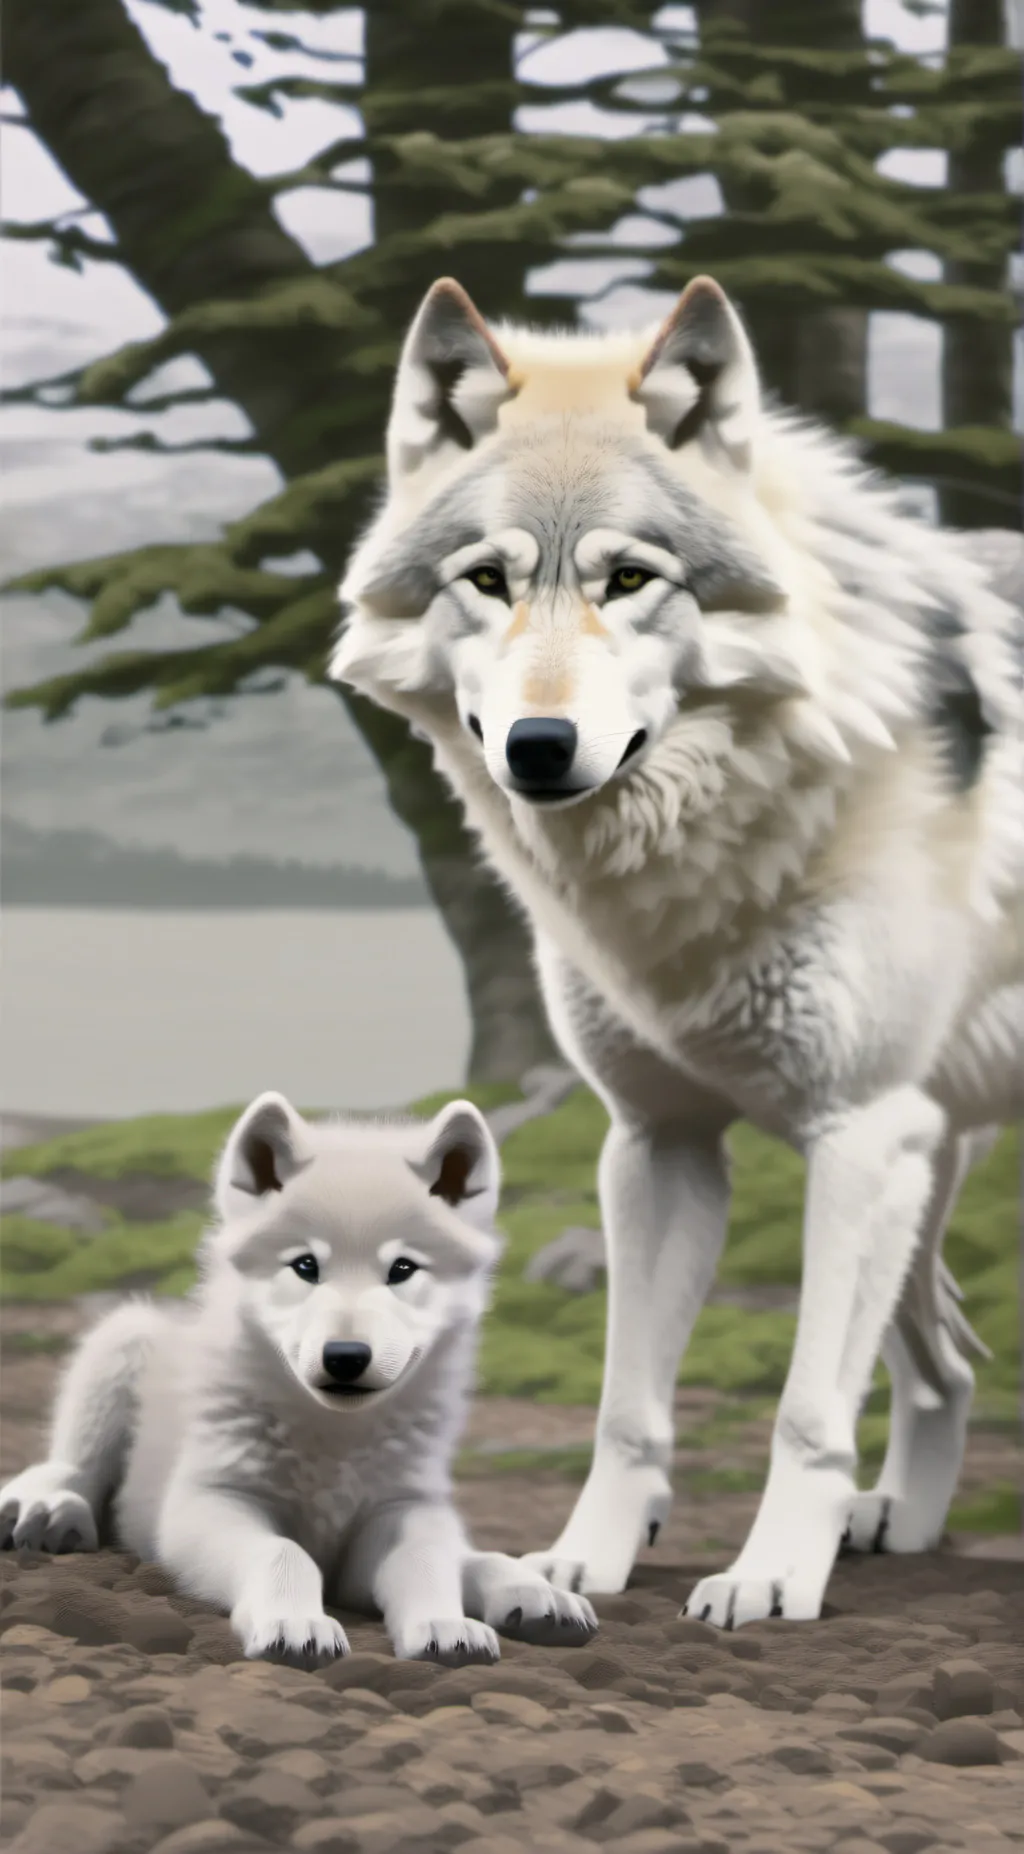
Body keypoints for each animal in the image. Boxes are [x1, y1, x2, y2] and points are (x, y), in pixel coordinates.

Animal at [0, 1091, 597, 1664]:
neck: (334, 1437)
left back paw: (539, 1596)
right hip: (120, 1341)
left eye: (402, 1269)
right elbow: (283, 1552)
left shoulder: (401, 1509)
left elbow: (426, 1559)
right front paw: (296, 1626)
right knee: (71, 1464)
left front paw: (444, 1626)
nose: (346, 1356)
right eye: (306, 1266)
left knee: (472, 1556)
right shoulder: (211, 1500)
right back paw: (47, 1509)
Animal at [330, 273, 1023, 1628]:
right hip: (928, 1177)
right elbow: (628, 1408)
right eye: (485, 578)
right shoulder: (660, 1142)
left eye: (629, 577)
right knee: (944, 1373)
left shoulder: (856, 1137)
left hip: (910, 1169)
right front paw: (578, 1564)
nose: (540, 746)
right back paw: (898, 1527)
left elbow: (805, 1409)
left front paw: (768, 1579)